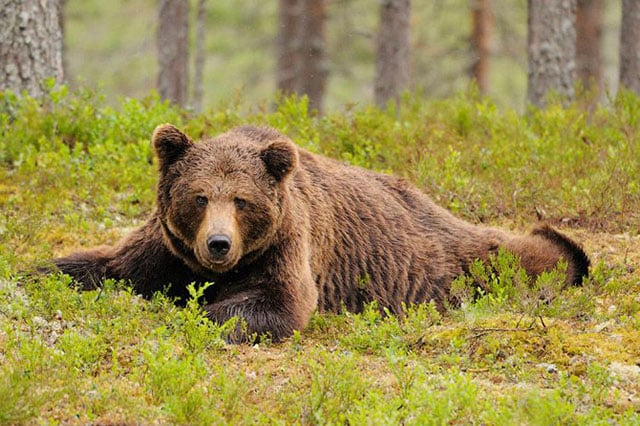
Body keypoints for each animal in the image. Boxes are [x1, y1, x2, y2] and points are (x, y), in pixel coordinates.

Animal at [52, 124, 590, 342]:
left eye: (241, 200)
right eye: (199, 197)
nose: (219, 244)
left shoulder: (288, 246)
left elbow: (277, 302)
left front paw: (197, 312)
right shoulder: (166, 248)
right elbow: (105, 264)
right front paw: (48, 273)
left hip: (440, 258)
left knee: (507, 255)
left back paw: (567, 253)